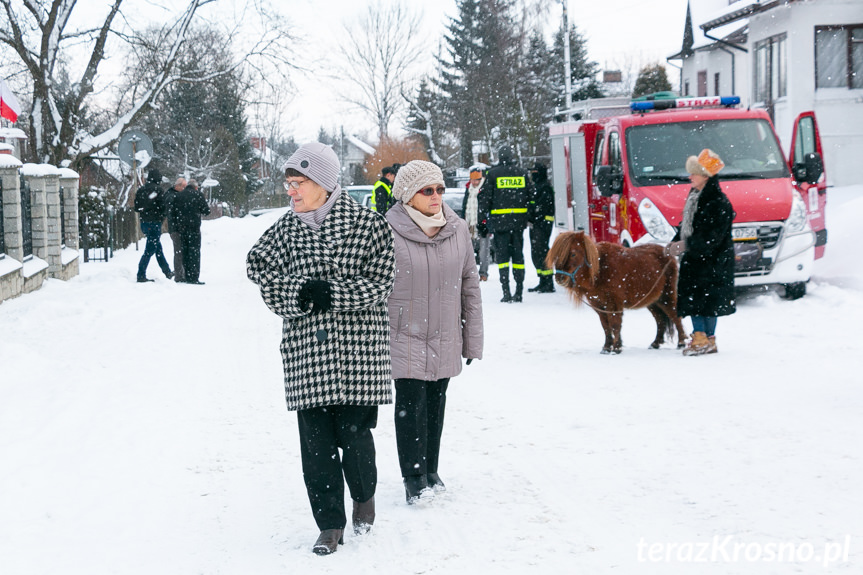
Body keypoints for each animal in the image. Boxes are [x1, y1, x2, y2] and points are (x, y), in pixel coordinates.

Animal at [548, 232, 688, 354]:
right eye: (555, 255)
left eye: (573, 254)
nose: (559, 278)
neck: (600, 270)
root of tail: (669, 255)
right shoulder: (599, 306)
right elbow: (605, 326)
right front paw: (606, 347)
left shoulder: (613, 304)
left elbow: (615, 324)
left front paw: (616, 348)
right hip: (652, 301)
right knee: (660, 319)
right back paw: (655, 343)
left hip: (666, 296)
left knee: (674, 316)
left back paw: (682, 342)